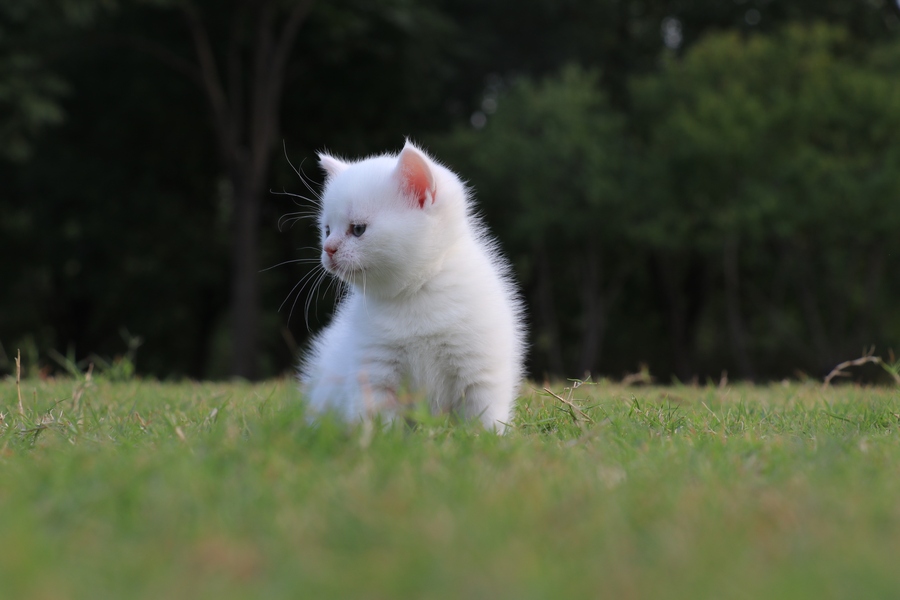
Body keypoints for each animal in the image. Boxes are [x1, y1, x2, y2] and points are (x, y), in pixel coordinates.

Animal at [299, 140, 525, 431]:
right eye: (327, 230)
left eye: (358, 229)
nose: (328, 249)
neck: (415, 292)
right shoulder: (375, 368)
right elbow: (380, 418)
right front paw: (382, 438)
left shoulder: (480, 366)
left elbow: (483, 413)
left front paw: (486, 438)